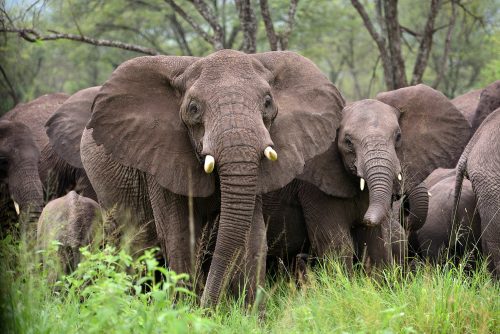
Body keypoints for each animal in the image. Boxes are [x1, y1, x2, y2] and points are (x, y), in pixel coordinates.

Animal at [80, 50, 346, 308]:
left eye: (268, 102)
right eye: (193, 108)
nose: (208, 309)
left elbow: (252, 236)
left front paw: (249, 315)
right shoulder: (159, 156)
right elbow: (180, 234)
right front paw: (185, 312)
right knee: (134, 242)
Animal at [264, 83, 470, 268]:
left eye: (398, 136)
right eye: (348, 142)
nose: (402, 207)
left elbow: (376, 245)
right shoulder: (314, 189)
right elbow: (337, 245)